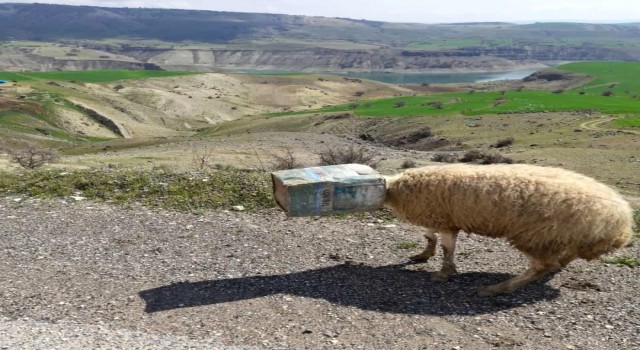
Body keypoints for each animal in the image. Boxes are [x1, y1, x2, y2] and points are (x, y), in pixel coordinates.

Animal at [382, 163, 632, 296]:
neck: (394, 188)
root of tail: (623, 221)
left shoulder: (445, 220)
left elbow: (447, 249)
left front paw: (444, 272)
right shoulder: (438, 216)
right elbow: (428, 235)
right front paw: (424, 254)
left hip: (534, 236)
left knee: (542, 267)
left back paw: (497, 288)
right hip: (564, 237)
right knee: (563, 258)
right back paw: (559, 264)